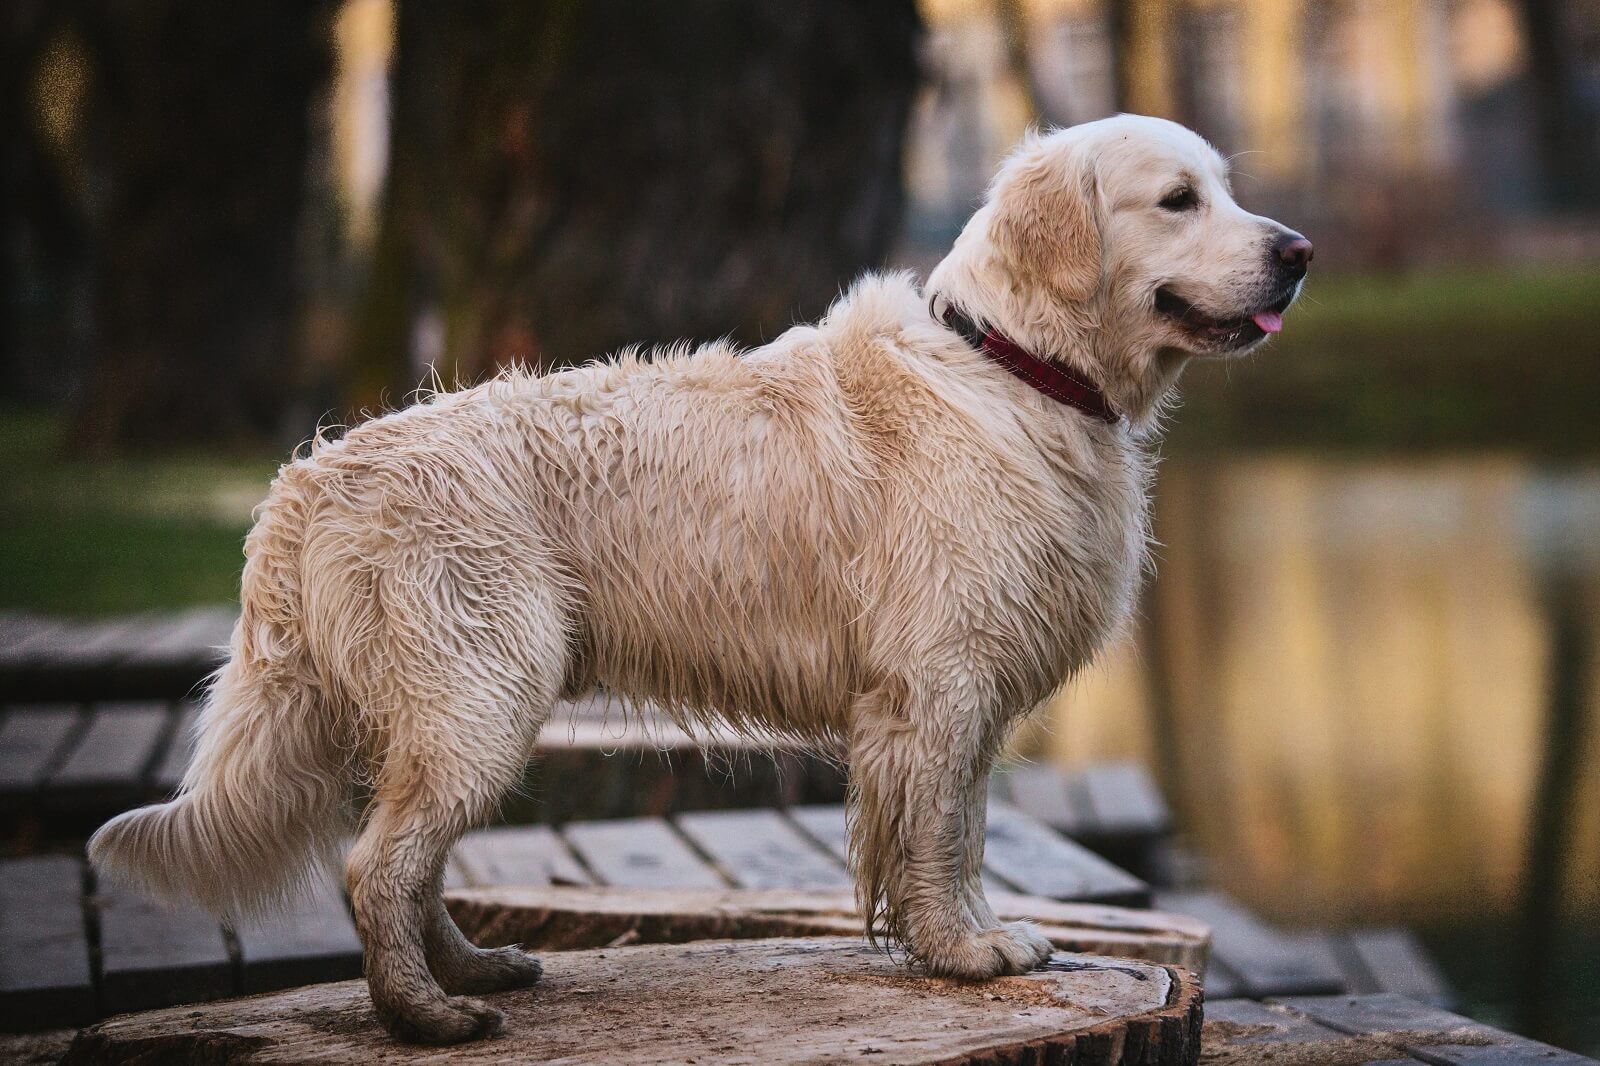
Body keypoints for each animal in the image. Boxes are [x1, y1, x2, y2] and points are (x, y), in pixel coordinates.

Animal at [90, 114, 1312, 1037]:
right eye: (1177, 200)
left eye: (1224, 188)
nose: (1298, 251)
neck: (1018, 367)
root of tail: (307, 480)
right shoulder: (937, 686)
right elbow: (939, 836)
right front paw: (965, 951)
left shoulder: (952, 699)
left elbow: (958, 828)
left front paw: (966, 939)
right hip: (483, 691)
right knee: (374, 867)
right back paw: (425, 1016)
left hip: (452, 711)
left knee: (409, 862)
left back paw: (474, 967)